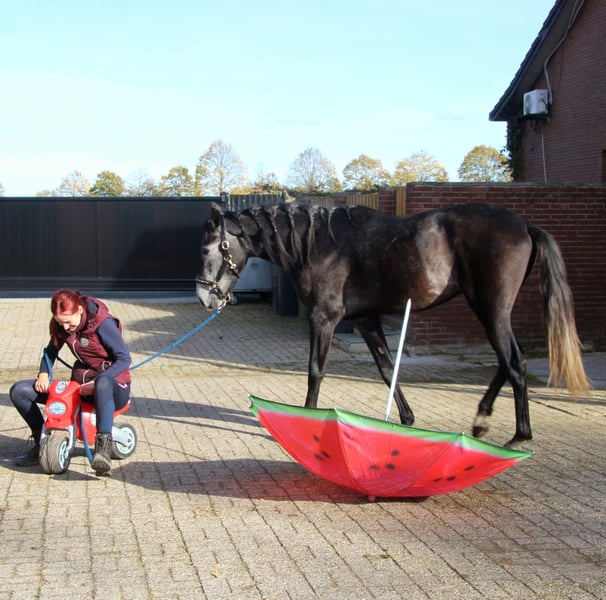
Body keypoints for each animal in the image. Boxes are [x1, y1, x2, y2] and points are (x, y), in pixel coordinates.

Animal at [195, 201, 590, 447]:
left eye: (206, 249)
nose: (204, 298)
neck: (317, 243)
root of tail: (524, 225)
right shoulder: (366, 320)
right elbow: (387, 369)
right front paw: (406, 419)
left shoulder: (324, 319)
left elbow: (315, 371)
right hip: (491, 311)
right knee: (506, 362)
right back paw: (481, 419)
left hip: (492, 309)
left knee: (514, 362)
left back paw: (519, 434)